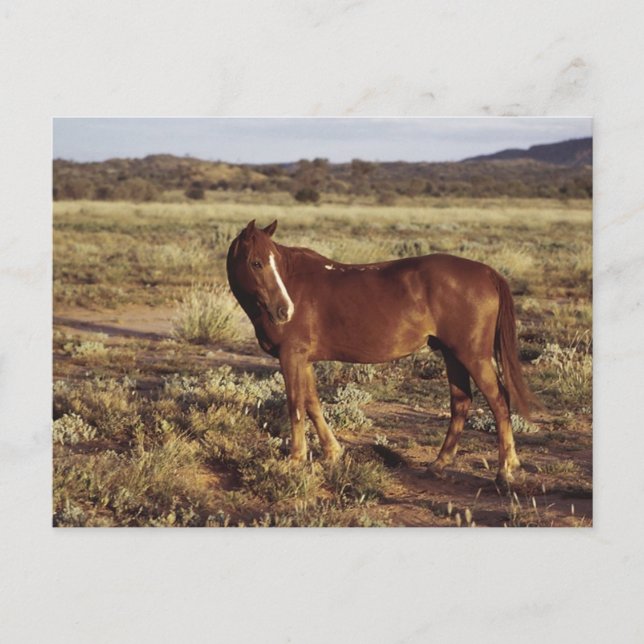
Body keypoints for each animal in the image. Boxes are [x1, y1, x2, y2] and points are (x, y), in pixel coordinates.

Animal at [227, 219, 537, 485]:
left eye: (273, 262)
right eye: (256, 263)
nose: (285, 311)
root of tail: (488, 272)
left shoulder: (291, 356)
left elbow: (296, 406)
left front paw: (295, 459)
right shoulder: (304, 360)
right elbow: (312, 404)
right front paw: (332, 452)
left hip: (473, 356)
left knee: (499, 402)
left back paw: (506, 470)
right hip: (453, 355)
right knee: (461, 403)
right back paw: (439, 464)